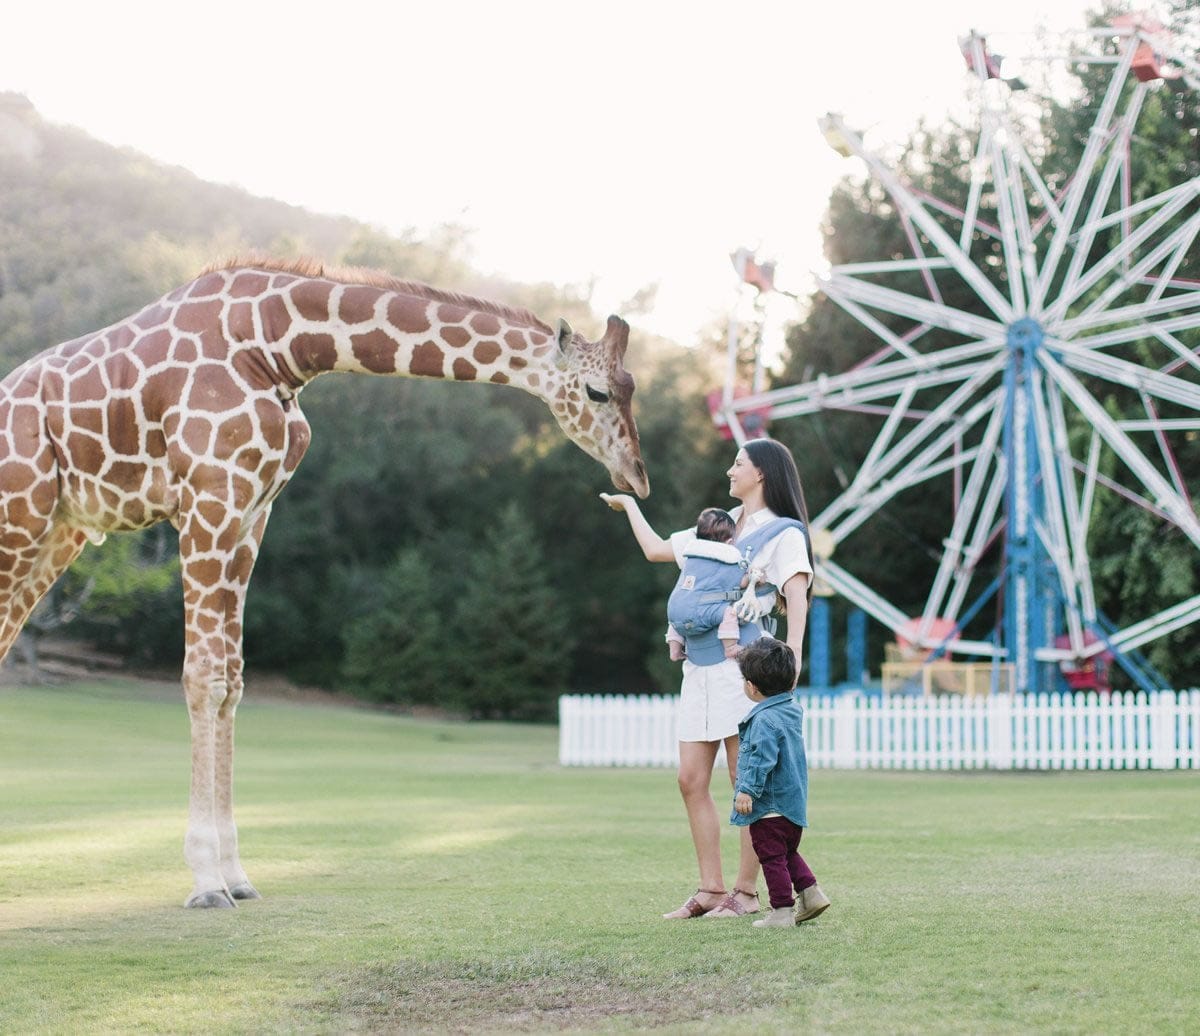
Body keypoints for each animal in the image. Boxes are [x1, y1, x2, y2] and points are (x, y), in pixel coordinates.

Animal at [0, 256, 649, 908]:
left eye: (632, 389)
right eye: (596, 390)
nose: (637, 476)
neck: (278, 346)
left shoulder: (253, 512)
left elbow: (233, 679)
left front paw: (237, 875)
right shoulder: (209, 498)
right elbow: (204, 677)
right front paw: (207, 880)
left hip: (57, 532)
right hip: (21, 518)